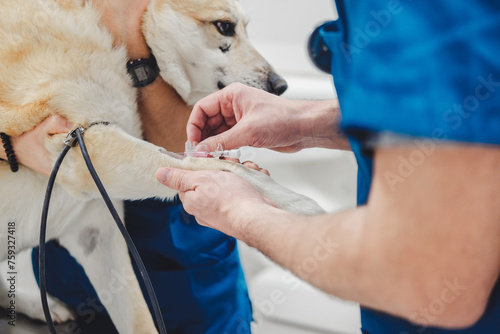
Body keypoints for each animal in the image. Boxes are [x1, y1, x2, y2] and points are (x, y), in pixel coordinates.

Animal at [0, 0, 324, 332]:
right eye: (224, 27)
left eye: (246, 27)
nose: (281, 85)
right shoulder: (81, 146)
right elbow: (207, 165)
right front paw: (295, 203)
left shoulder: (96, 233)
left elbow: (139, 320)